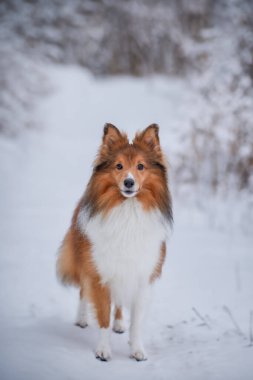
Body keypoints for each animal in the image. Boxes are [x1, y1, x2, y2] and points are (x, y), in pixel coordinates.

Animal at [56, 124, 173, 362]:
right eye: (118, 166)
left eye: (140, 166)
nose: (129, 182)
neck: (128, 210)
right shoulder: (101, 274)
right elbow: (103, 318)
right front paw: (103, 350)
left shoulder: (141, 276)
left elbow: (136, 324)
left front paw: (137, 350)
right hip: (85, 260)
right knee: (83, 290)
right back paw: (82, 318)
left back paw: (119, 323)